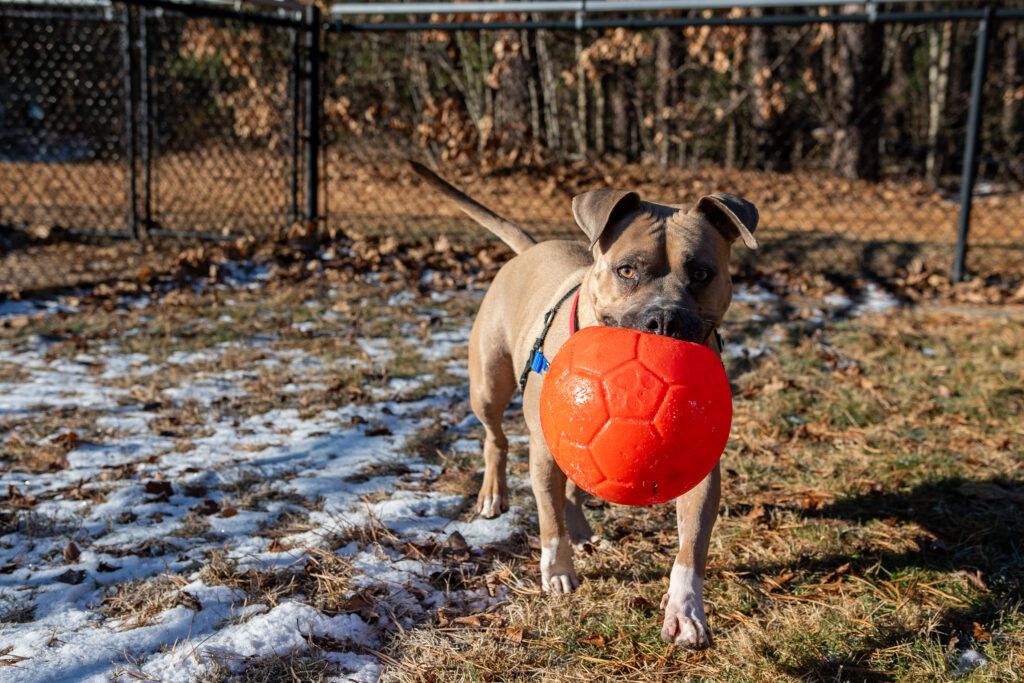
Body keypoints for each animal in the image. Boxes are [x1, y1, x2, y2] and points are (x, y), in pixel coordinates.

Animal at [411, 162, 757, 651]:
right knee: (496, 438)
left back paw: (583, 533)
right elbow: (547, 518)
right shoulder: (541, 450)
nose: (664, 318)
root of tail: (530, 249)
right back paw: (495, 494)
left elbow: (692, 545)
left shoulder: (702, 467)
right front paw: (557, 572)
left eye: (702, 274)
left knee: (573, 485)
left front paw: (686, 611)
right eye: (626, 270)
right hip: (489, 386)